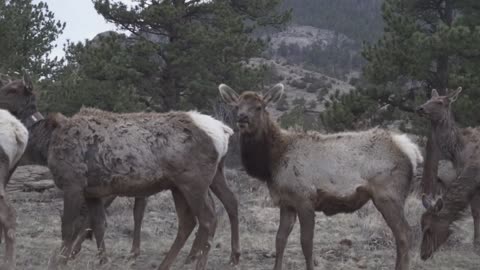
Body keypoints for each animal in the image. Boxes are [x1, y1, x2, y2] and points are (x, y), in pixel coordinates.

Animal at [0, 78, 239, 270]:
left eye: (11, 89)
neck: (46, 144)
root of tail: (224, 131)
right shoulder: (93, 191)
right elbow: (98, 225)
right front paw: (102, 261)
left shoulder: (72, 183)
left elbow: (68, 229)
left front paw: (59, 262)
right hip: (180, 185)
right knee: (190, 221)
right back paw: (166, 264)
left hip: (193, 182)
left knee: (208, 219)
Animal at [218, 83, 424, 270]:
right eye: (237, 106)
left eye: (259, 106)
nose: (242, 117)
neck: (272, 164)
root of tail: (411, 150)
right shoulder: (287, 202)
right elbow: (279, 239)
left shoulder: (305, 198)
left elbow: (306, 243)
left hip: (388, 194)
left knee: (405, 234)